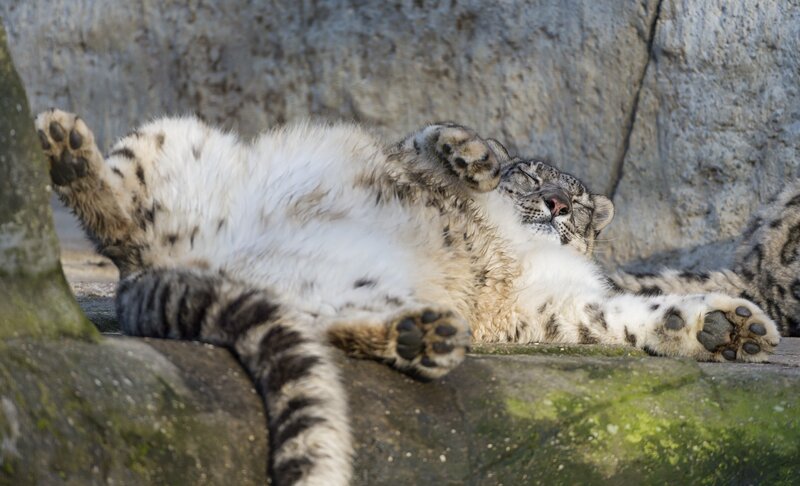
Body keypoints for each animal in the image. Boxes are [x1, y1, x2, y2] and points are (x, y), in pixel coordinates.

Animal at [36, 109, 780, 486]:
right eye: (532, 177)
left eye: (574, 201)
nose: (558, 203)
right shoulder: (414, 158)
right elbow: (426, 140)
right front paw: (473, 154)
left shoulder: (558, 304)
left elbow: (621, 318)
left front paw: (724, 328)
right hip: (171, 141)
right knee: (120, 219)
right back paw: (67, 147)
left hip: (338, 287)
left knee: (324, 327)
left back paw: (423, 338)